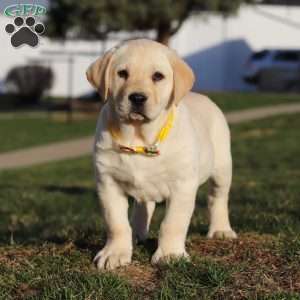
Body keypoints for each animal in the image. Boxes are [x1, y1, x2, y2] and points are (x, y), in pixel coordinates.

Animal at [86, 38, 237, 270]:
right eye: (122, 73)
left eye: (158, 76)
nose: (137, 97)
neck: (139, 138)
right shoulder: (107, 182)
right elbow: (116, 223)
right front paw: (115, 253)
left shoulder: (182, 185)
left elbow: (172, 223)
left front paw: (170, 254)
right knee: (143, 205)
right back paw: (137, 232)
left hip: (222, 166)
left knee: (217, 198)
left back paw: (221, 229)